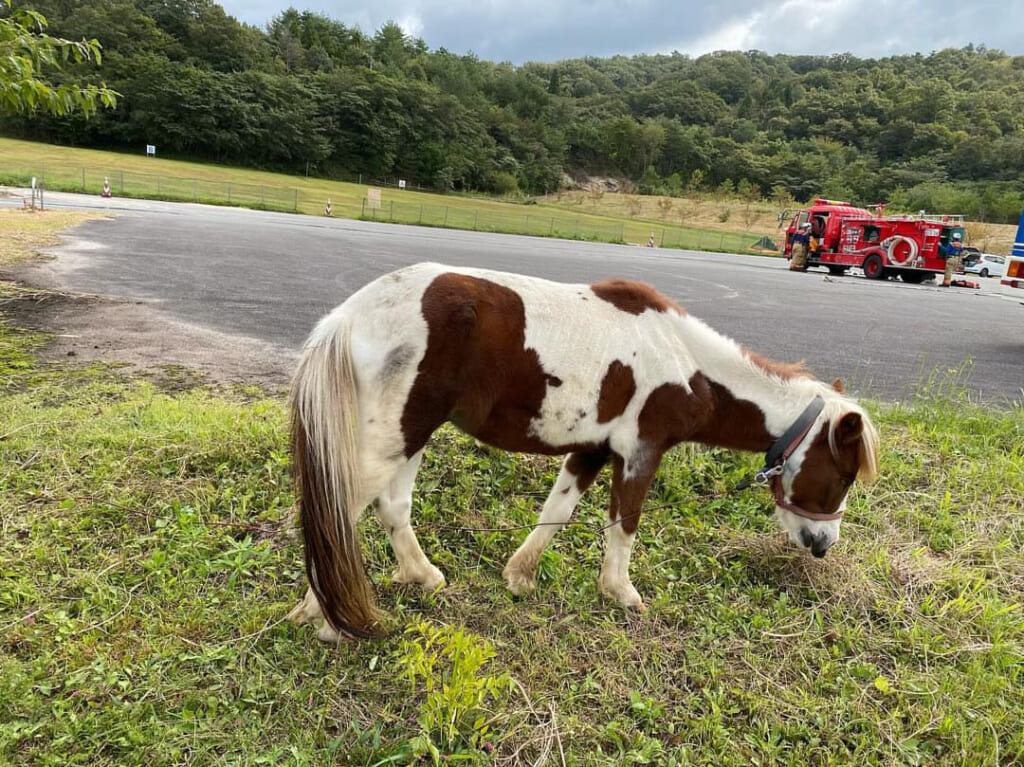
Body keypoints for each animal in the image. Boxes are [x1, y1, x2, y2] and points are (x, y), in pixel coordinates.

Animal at [288, 264, 880, 638]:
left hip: (409, 435)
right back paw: (322, 612)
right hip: (399, 434)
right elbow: (626, 522)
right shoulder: (641, 451)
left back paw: (421, 576)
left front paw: (519, 576)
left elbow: (557, 512)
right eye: (844, 476)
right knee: (340, 511)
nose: (823, 544)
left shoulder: (593, 449)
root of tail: (350, 314)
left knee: (393, 508)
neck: (687, 365)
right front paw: (620, 591)